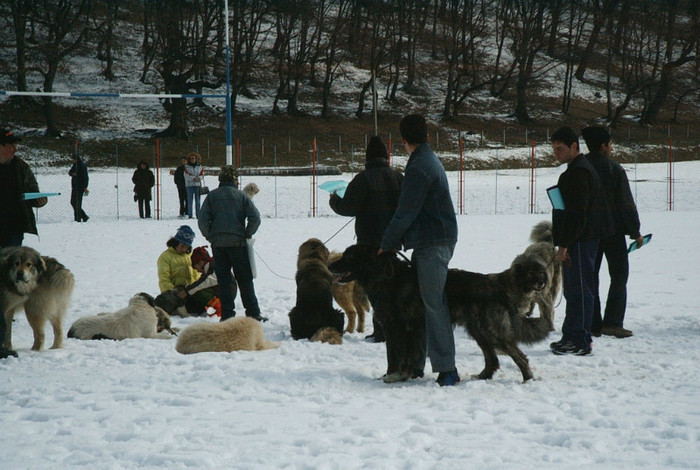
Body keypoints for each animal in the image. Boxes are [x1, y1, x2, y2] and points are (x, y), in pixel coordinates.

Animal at [330, 246, 556, 382]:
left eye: (349, 255)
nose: (330, 265)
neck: (384, 277)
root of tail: (495, 282)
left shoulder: (395, 328)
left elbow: (394, 355)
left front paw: (391, 376)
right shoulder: (411, 330)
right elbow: (408, 356)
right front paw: (405, 375)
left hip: (491, 331)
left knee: (518, 355)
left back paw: (527, 379)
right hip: (478, 330)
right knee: (492, 358)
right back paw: (483, 376)